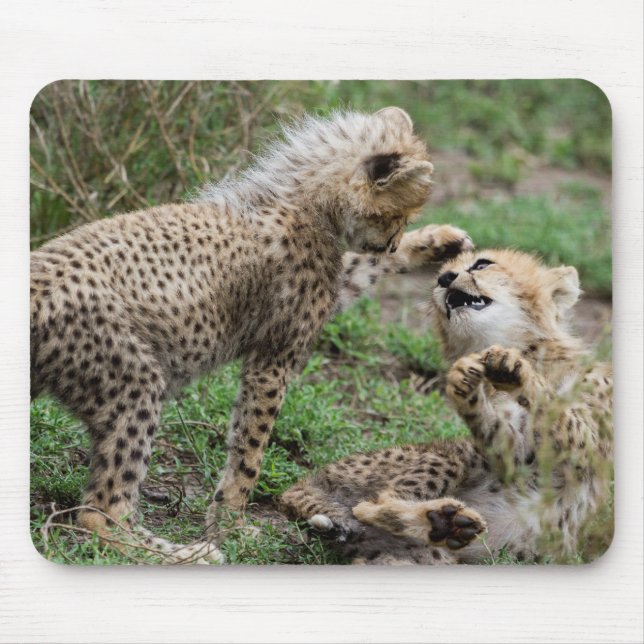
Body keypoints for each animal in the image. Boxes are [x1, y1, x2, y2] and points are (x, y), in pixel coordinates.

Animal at [30, 106, 473, 562]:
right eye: (395, 215)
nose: (391, 243)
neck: (304, 199)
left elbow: (359, 267)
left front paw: (438, 241)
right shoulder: (273, 358)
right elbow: (250, 451)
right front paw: (232, 526)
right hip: (133, 383)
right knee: (100, 514)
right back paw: (186, 553)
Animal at [280, 249, 613, 565]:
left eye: (482, 264)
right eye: (439, 276)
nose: (445, 279)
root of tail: (308, 480)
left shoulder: (589, 448)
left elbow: (557, 411)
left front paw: (511, 367)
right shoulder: (517, 455)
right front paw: (464, 380)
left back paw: (445, 524)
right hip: (453, 455)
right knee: (370, 505)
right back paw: (443, 521)